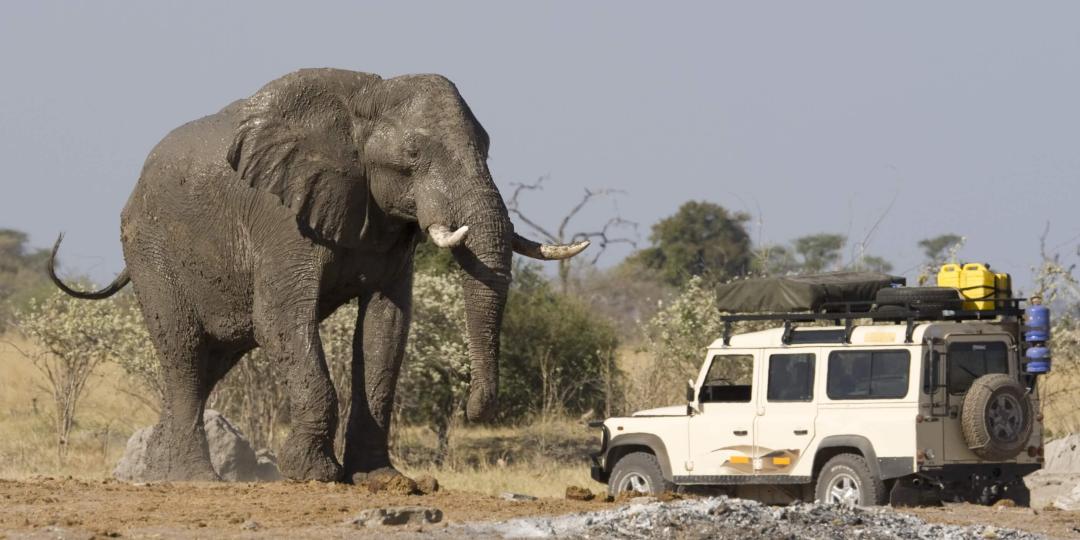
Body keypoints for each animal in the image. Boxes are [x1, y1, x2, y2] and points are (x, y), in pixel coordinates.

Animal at [48, 68, 591, 481]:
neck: (364, 102)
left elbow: (386, 328)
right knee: (184, 352)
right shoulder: (279, 215)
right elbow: (281, 320)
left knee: (209, 363)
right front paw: (314, 474)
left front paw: (380, 479)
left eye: (487, 147)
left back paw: (156, 473)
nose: (473, 410)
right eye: (413, 156)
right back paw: (192, 479)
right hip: (151, 249)